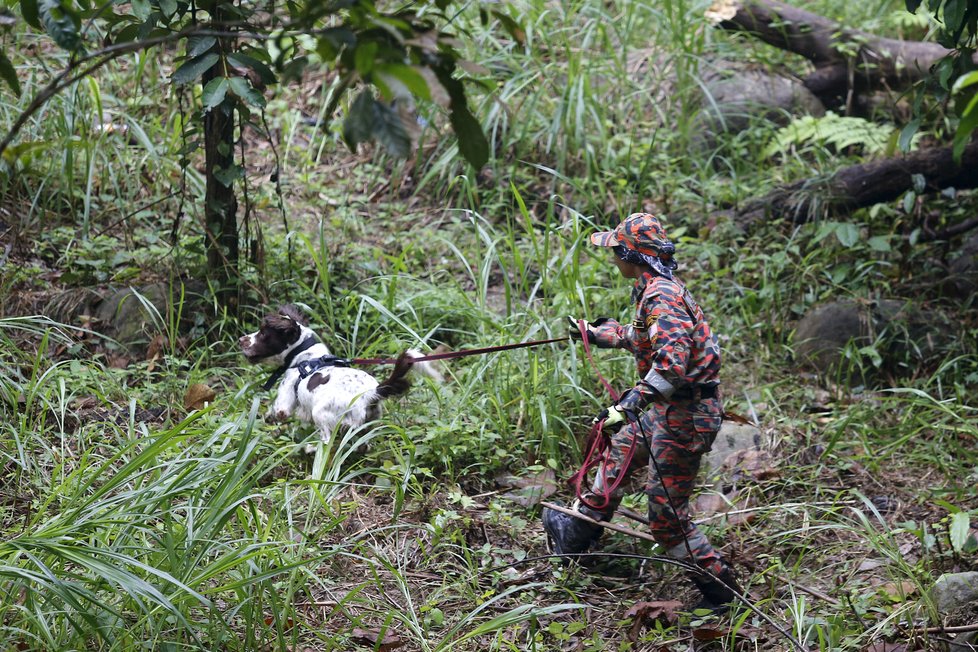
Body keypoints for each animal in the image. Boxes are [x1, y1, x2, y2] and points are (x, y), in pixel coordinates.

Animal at [238, 306, 436, 448]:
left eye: (263, 333)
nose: (240, 339)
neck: (304, 356)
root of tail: (371, 393)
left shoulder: (285, 399)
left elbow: (278, 411)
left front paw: (268, 419)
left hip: (322, 414)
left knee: (327, 442)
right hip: (368, 425)